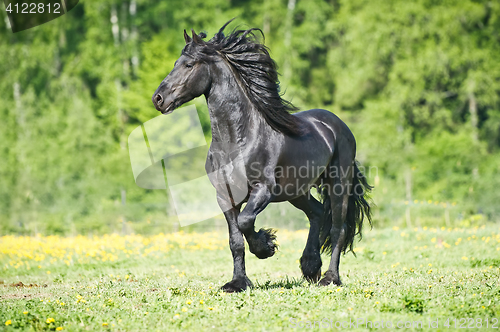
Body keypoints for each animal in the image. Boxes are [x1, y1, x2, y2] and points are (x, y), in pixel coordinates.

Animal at [152, 20, 372, 292]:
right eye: (175, 63)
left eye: (189, 65)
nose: (158, 99)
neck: (237, 142)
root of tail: (337, 124)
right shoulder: (224, 196)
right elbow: (235, 240)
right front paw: (237, 283)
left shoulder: (263, 190)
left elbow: (246, 221)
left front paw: (266, 246)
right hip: (296, 191)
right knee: (317, 212)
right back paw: (310, 266)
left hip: (338, 184)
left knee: (337, 228)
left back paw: (329, 278)